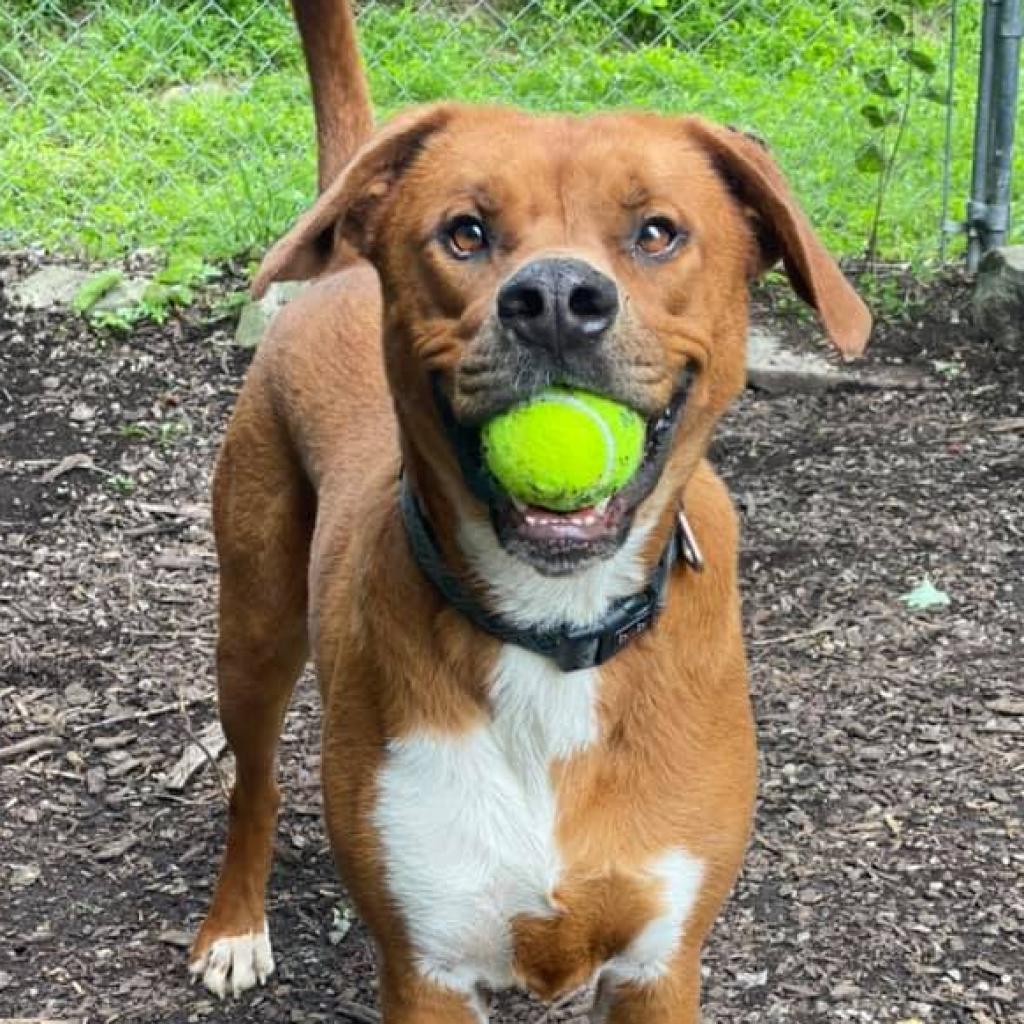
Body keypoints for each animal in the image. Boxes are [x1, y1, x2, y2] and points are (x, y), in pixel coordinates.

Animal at [188, 4, 868, 1019]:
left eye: (657, 232)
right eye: (465, 232)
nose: (554, 298)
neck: (555, 631)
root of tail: (342, 264)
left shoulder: (659, 963)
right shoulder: (426, 963)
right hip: (256, 623)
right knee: (253, 782)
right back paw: (234, 925)